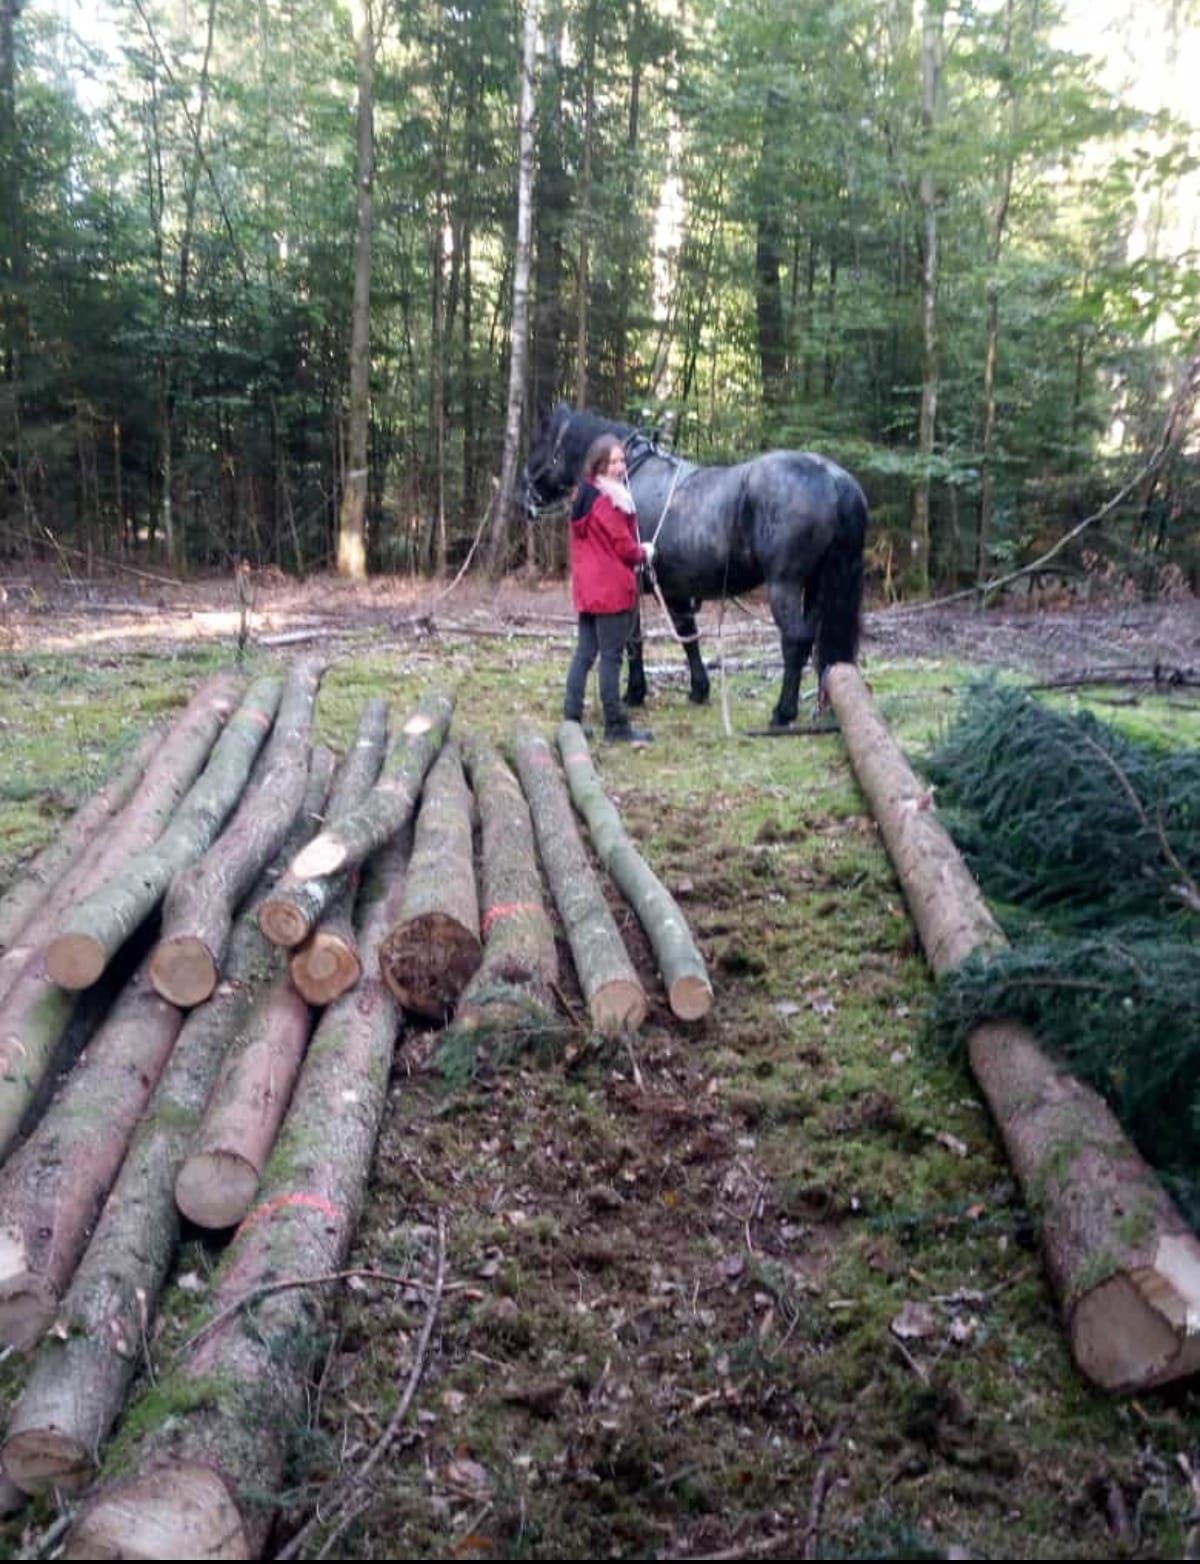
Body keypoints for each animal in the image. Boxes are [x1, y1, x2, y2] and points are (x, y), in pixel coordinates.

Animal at [521, 405, 868, 728]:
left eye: (540, 440)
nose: (523, 495)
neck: (630, 477)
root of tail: (833, 478)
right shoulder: (674, 588)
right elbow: (688, 635)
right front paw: (699, 689)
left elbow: (634, 639)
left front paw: (635, 692)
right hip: (818, 583)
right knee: (816, 641)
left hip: (785, 584)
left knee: (795, 643)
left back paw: (783, 712)